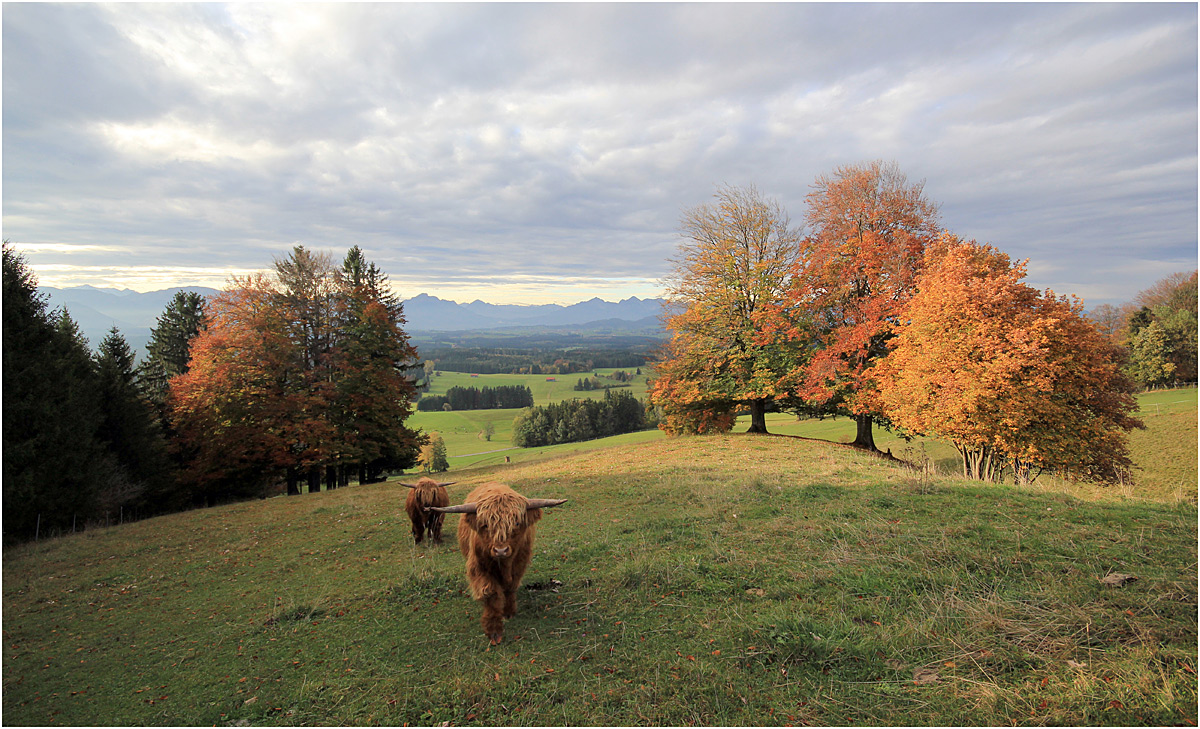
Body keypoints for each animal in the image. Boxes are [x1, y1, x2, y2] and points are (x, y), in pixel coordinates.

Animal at [429, 484, 564, 642]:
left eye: (516, 523)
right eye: (486, 525)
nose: (501, 550)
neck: (504, 565)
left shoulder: (519, 564)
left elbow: (510, 588)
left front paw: (509, 612)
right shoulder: (478, 567)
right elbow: (490, 593)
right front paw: (493, 630)